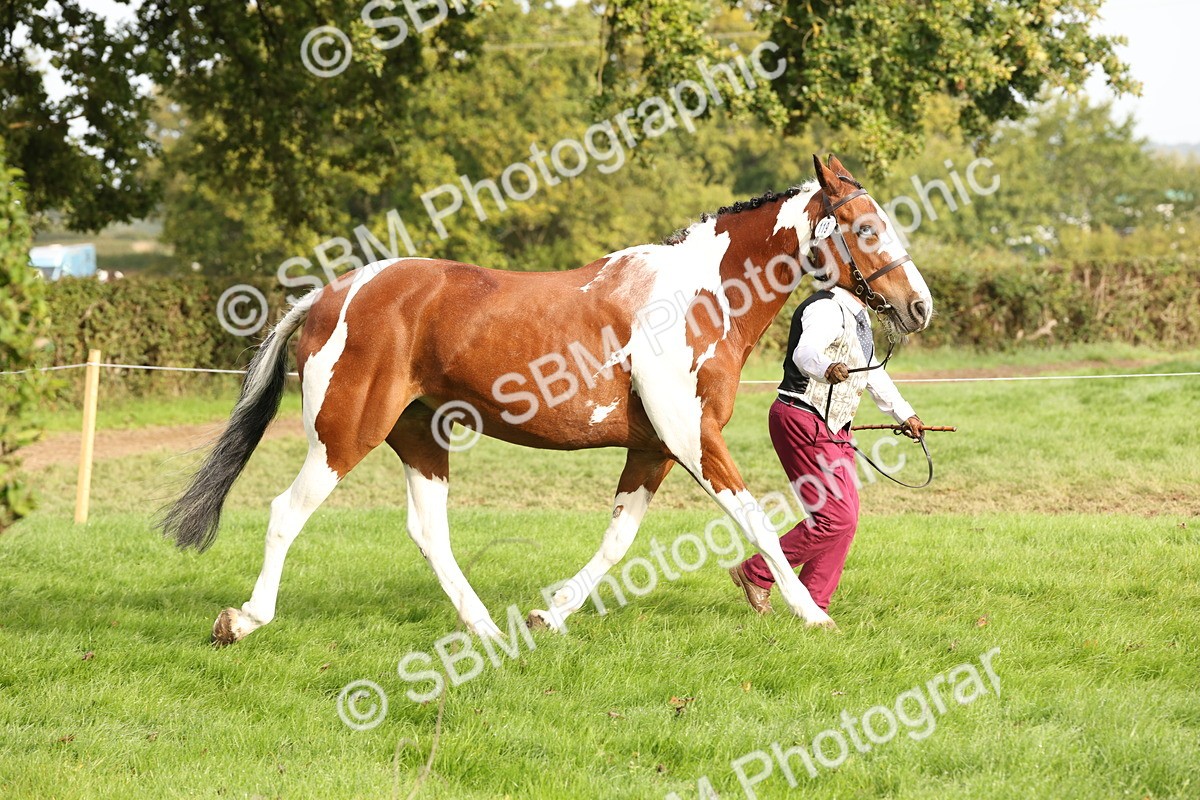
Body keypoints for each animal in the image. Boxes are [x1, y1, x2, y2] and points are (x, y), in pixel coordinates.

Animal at [160, 154, 933, 645]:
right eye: (867, 227)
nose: (919, 305)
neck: (699, 296)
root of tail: (328, 295)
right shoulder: (691, 438)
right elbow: (758, 523)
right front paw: (813, 616)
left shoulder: (653, 449)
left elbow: (618, 539)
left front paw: (550, 614)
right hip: (345, 434)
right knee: (286, 512)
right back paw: (243, 621)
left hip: (421, 436)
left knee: (428, 532)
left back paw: (484, 628)